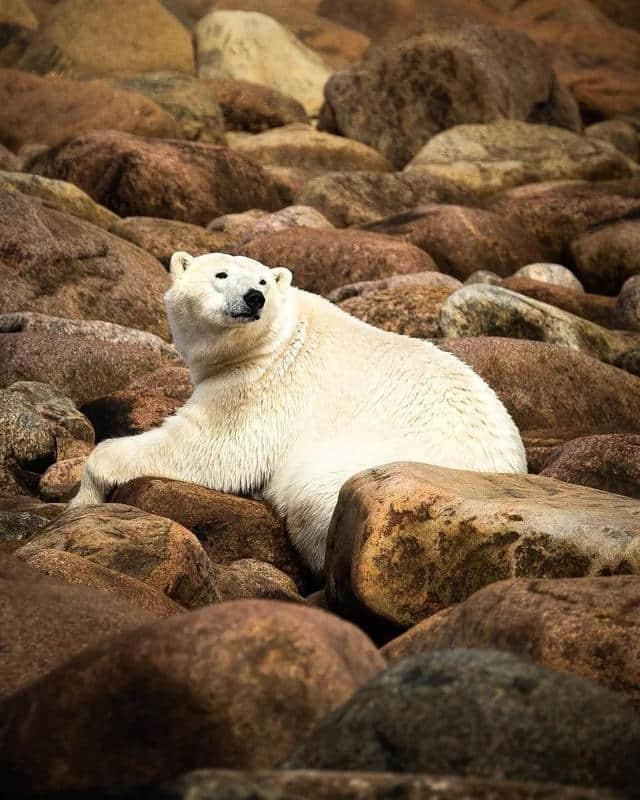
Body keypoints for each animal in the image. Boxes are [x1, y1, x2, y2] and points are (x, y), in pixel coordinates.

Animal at [72, 253, 528, 572]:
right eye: (221, 275)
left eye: (260, 280)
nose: (253, 298)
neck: (279, 337)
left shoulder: (262, 385)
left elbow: (212, 447)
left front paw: (82, 495)